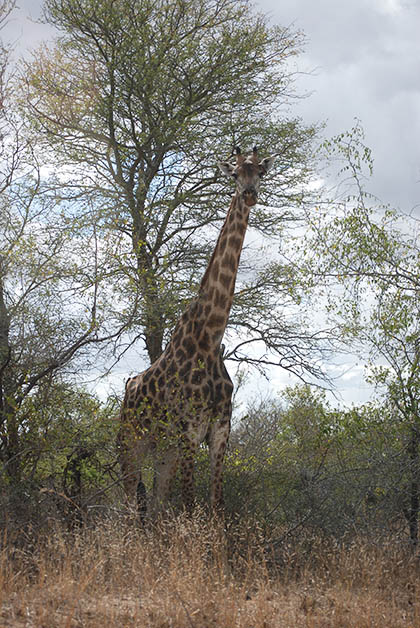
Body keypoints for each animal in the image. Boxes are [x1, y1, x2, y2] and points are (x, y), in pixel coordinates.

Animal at [118, 148, 276, 520]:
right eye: (234, 174)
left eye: (260, 172)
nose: (249, 194)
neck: (209, 336)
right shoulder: (189, 430)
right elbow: (190, 508)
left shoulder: (219, 430)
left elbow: (217, 508)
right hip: (130, 443)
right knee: (128, 503)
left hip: (164, 450)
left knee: (156, 503)